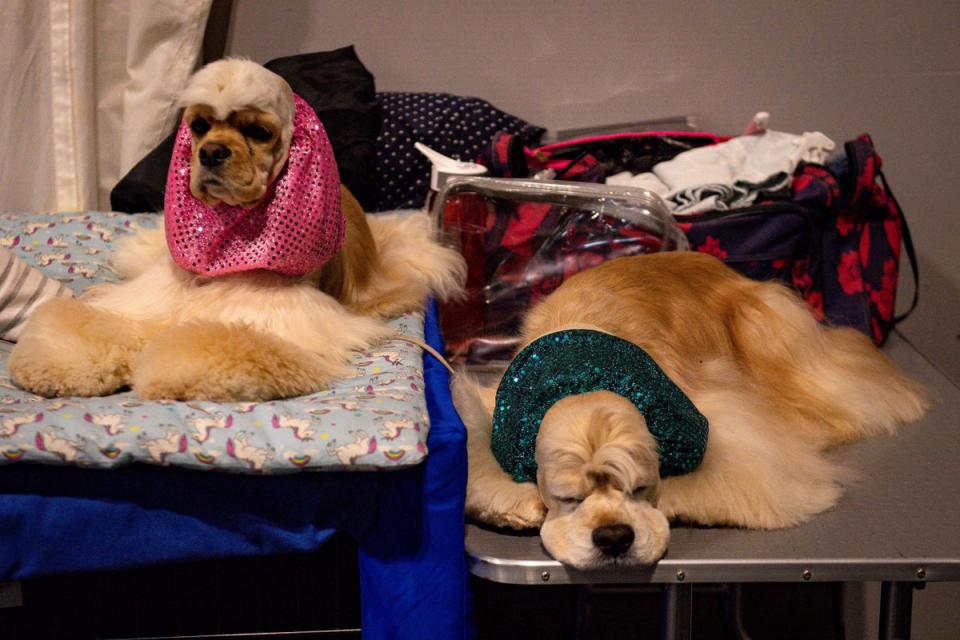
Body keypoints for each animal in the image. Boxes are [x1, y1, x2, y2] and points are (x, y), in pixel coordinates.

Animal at [7, 60, 464, 400]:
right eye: (199, 126)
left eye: (259, 132)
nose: (210, 153)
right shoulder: (154, 297)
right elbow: (104, 325)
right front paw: (57, 363)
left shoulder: (280, 321)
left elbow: (217, 345)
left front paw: (164, 373)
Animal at [458, 252, 928, 568]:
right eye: (567, 497)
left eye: (641, 487)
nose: (613, 538)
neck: (580, 371)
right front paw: (514, 502)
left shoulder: (736, 436)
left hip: (767, 330)